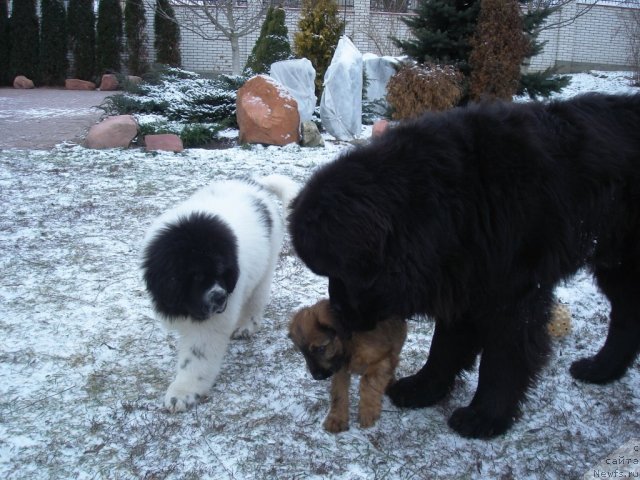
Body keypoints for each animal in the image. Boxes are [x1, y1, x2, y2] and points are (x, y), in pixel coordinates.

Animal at [142, 176, 298, 412]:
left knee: (256, 298)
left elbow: (196, 356)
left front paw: (182, 393)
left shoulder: (211, 322)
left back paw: (245, 326)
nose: (220, 297)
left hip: (267, 263)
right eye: (196, 276)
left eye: (222, 272)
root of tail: (255, 185)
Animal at [288, 300, 404, 432]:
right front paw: (337, 419)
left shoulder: (383, 358)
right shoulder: (339, 367)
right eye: (303, 352)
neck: (350, 341)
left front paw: (368, 412)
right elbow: (339, 392)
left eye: (321, 349)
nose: (317, 377)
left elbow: (368, 381)